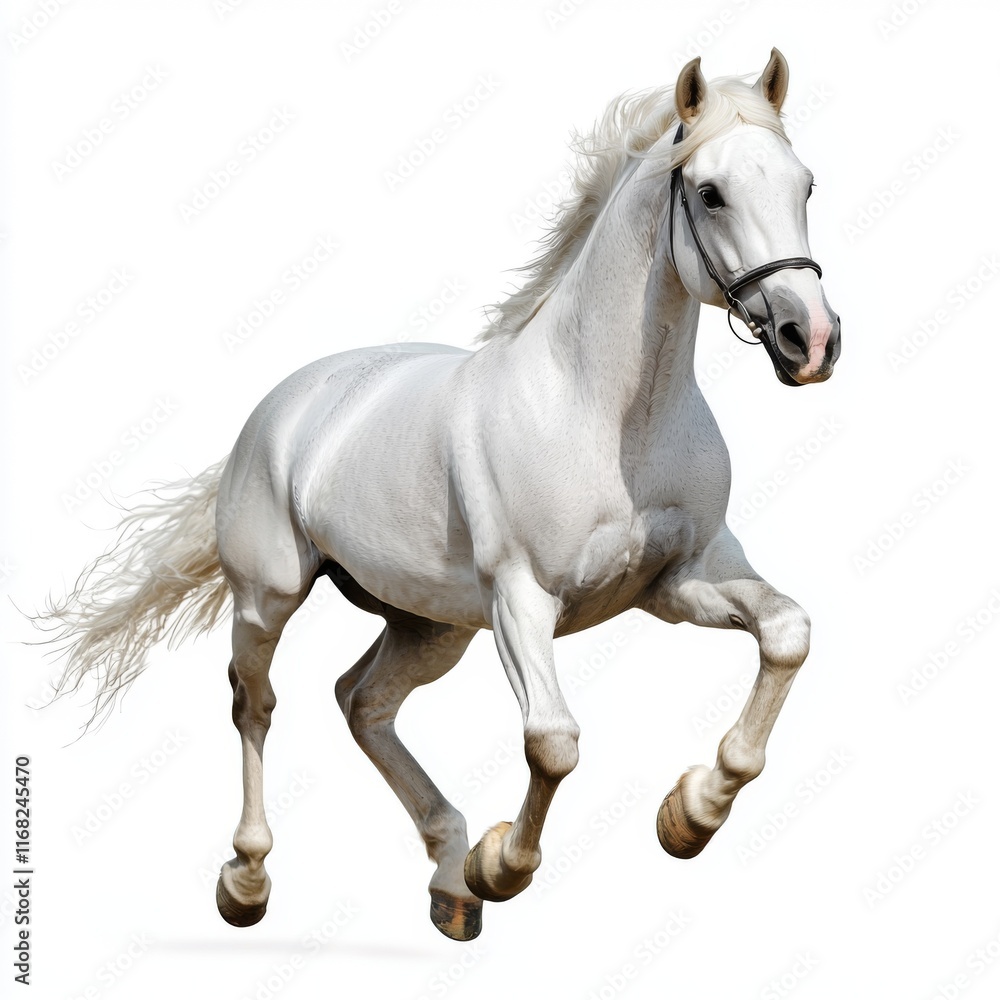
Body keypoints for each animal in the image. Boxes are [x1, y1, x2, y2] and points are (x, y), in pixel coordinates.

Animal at [40, 49, 840, 942]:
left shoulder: (681, 581)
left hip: (430, 626)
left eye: (805, 186)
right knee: (257, 705)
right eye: (709, 192)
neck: (607, 415)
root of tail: (285, 404)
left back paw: (449, 880)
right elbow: (553, 742)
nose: (812, 340)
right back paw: (250, 881)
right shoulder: (523, 599)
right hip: (269, 597)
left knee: (362, 702)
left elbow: (787, 634)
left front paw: (690, 816)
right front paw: (504, 866)